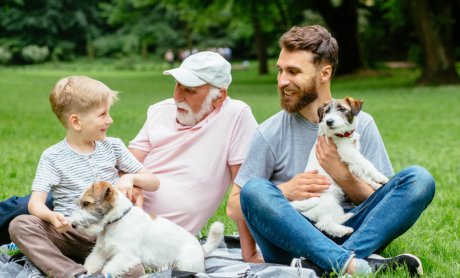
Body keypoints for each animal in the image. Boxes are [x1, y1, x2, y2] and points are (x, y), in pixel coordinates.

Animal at [68, 182, 225, 276]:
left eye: (86, 203)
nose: (73, 225)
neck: (118, 220)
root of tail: (201, 248)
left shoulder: (125, 255)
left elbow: (108, 269)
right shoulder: (100, 250)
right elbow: (91, 263)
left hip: (185, 265)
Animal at [292, 97, 388, 237]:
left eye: (342, 109)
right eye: (326, 111)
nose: (329, 121)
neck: (343, 134)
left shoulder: (351, 162)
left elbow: (363, 175)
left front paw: (376, 185)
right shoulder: (347, 152)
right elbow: (366, 163)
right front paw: (380, 176)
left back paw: (347, 217)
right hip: (329, 202)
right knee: (324, 224)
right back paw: (344, 230)